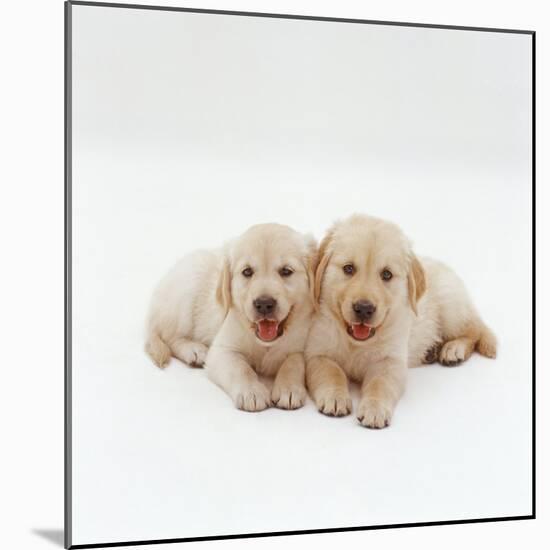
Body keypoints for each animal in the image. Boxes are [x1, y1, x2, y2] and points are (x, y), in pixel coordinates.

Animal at [147, 223, 316, 410]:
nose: (264, 304)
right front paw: (252, 391)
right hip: (186, 289)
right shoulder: (223, 350)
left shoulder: (302, 346)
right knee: (169, 336)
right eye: (247, 272)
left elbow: (294, 362)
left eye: (286, 271)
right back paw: (194, 350)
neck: (265, 344)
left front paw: (289, 388)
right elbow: (240, 369)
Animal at [308, 216, 498, 432]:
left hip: (451, 305)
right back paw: (432, 351)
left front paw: (374, 409)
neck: (357, 342)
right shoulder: (317, 353)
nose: (364, 308)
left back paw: (453, 349)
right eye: (348, 268)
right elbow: (331, 371)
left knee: (474, 329)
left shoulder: (391, 361)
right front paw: (335, 396)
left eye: (387, 274)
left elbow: (380, 384)